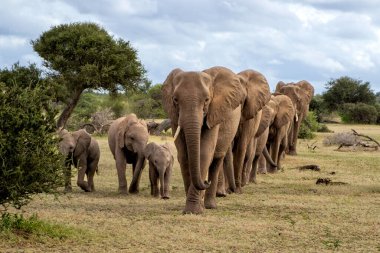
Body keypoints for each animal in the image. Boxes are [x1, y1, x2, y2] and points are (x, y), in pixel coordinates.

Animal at [162, 66, 268, 213]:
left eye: (207, 100)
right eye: (175, 100)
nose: (205, 182)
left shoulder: (215, 113)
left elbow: (205, 153)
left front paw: (194, 210)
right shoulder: (174, 117)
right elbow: (183, 155)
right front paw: (191, 209)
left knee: (217, 159)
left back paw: (211, 205)